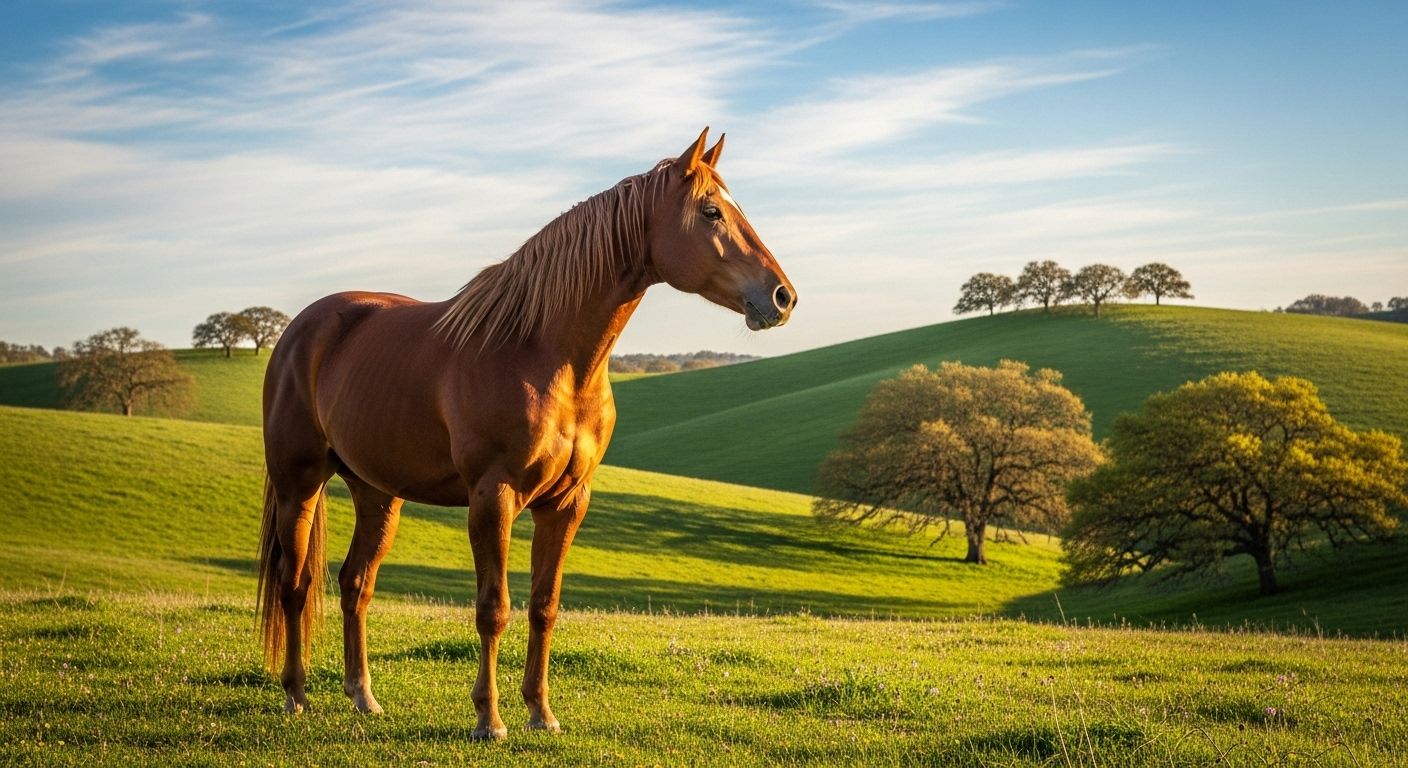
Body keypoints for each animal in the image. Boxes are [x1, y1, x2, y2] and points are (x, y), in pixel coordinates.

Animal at [256, 128, 796, 740]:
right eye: (711, 212)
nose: (782, 297)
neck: (544, 352)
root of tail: (299, 330)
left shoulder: (566, 503)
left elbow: (544, 606)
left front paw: (541, 712)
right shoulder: (494, 498)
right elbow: (494, 609)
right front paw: (488, 720)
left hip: (376, 492)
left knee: (355, 585)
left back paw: (363, 696)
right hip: (299, 485)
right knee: (295, 584)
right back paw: (296, 694)